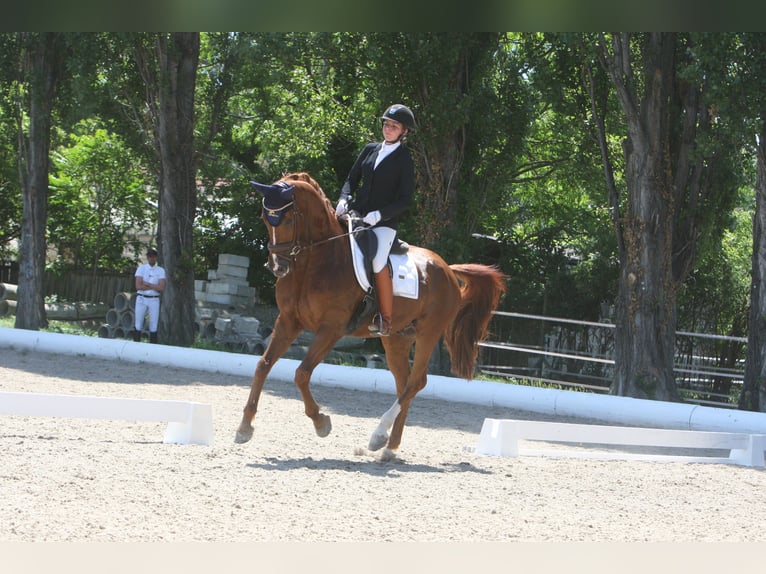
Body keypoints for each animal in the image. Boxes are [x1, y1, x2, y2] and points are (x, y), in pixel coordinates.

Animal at [237, 171, 508, 460]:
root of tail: (447, 268)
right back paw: (390, 447)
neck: (316, 261)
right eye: (264, 218)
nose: (278, 267)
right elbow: (263, 365)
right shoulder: (288, 321)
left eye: (288, 219)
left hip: (429, 332)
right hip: (396, 338)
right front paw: (244, 428)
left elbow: (301, 373)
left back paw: (378, 436)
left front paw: (321, 423)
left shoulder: (331, 328)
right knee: (405, 383)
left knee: (416, 382)